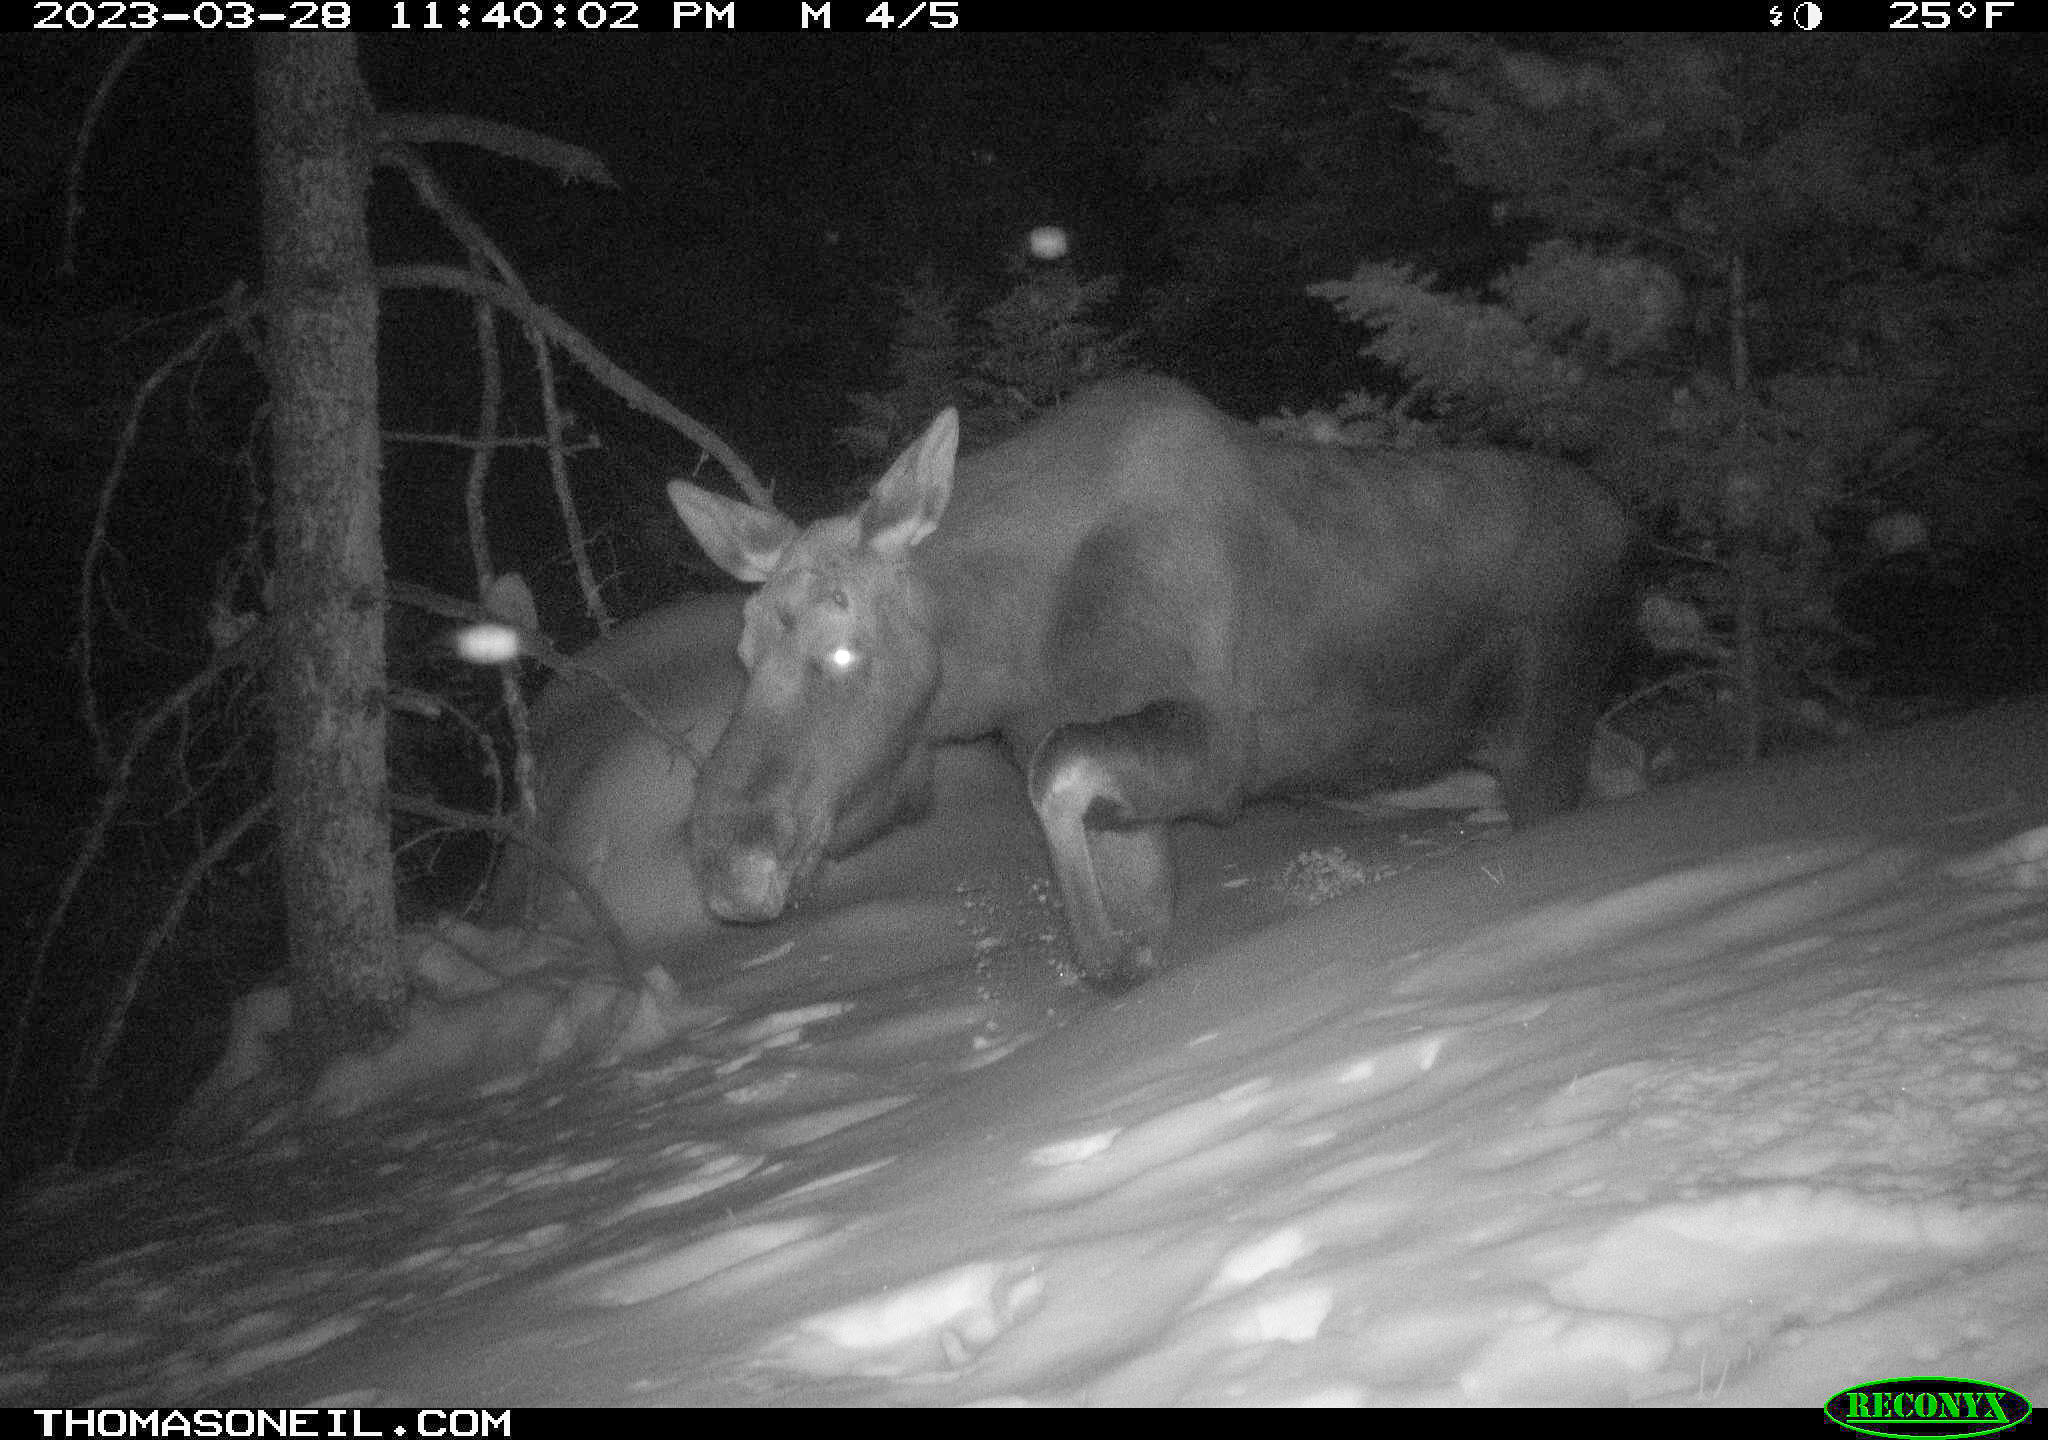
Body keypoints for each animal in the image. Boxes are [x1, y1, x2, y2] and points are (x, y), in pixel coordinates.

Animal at [663, 376, 1638, 991]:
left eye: (844, 647)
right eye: (743, 649)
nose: (727, 862)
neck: (1012, 649)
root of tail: (1626, 523)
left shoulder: (1220, 747)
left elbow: (1055, 774)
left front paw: (1111, 961)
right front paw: (1131, 953)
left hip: (1545, 716)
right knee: (1621, 763)